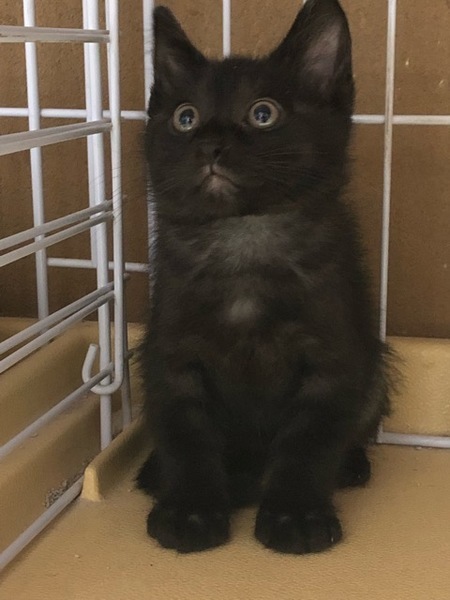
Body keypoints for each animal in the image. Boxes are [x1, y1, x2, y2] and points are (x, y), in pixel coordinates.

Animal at [137, 0, 391, 555]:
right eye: (185, 118)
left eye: (263, 113)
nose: (209, 144)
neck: (244, 237)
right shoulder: (170, 358)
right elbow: (185, 436)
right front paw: (190, 509)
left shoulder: (333, 362)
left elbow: (307, 443)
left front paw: (295, 515)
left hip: (374, 370)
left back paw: (350, 466)